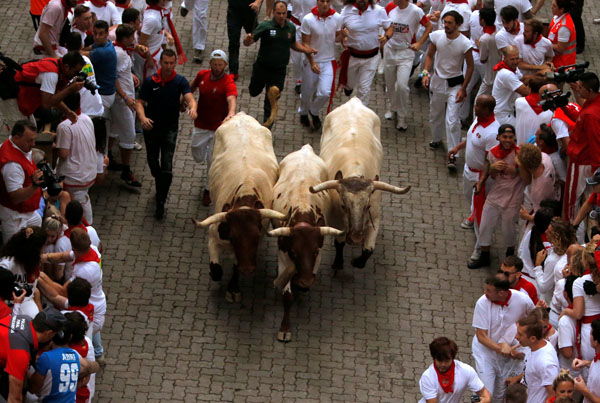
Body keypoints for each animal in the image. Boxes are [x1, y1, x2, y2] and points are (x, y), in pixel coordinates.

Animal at [192, 113, 286, 304]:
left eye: (257, 236)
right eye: (233, 237)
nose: (248, 269)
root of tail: (242, 115)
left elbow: (236, 265)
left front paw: (233, 289)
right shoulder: (213, 235)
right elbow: (216, 270)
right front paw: (216, 275)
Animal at [268, 144, 342, 342]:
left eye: (314, 252)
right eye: (294, 252)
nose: (306, 281)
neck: (302, 210)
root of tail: (305, 150)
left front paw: (303, 286)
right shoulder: (283, 256)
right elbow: (287, 296)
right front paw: (285, 328)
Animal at [310, 96, 412, 270]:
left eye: (368, 206)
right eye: (344, 205)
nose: (356, 237)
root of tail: (353, 102)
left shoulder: (374, 219)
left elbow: (368, 250)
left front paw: (358, 262)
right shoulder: (338, 223)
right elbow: (339, 244)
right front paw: (338, 263)